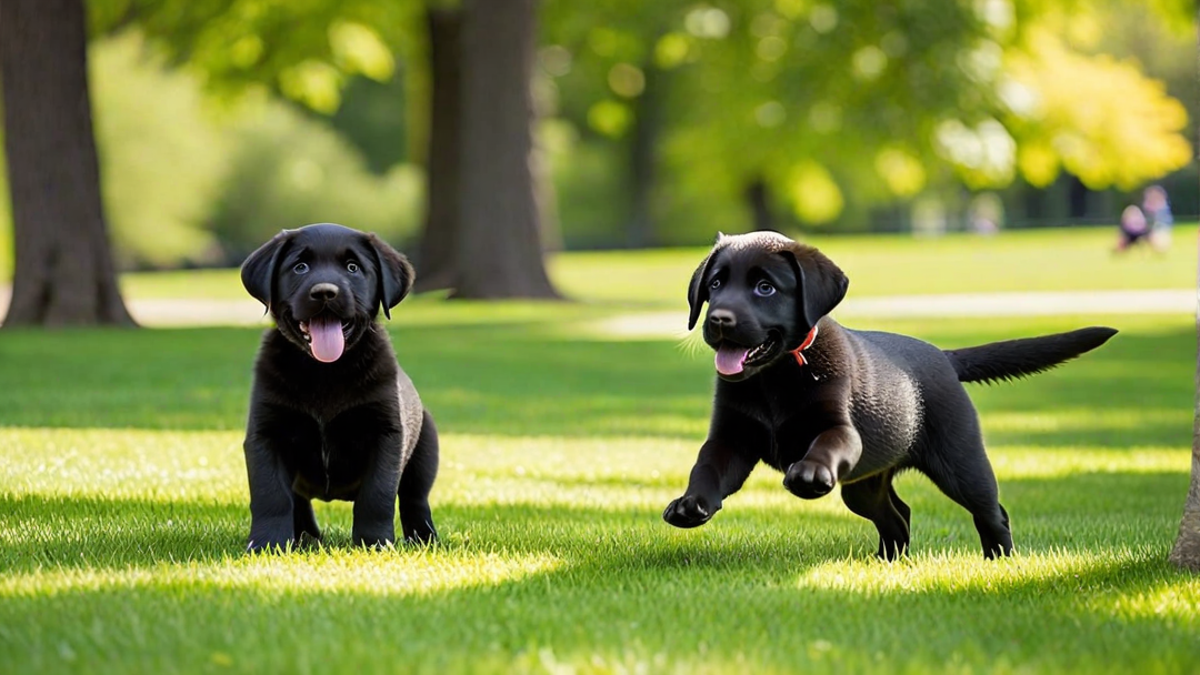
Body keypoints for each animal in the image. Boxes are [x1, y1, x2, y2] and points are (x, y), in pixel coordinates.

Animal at [236, 223, 439, 550]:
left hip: (425, 449)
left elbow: (377, 495)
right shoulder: (265, 434)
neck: (325, 371)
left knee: (414, 499)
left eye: (353, 267)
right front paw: (268, 544)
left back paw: (424, 539)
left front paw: (374, 544)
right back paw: (305, 536)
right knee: (298, 501)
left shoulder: (386, 434)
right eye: (300, 267)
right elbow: (271, 496)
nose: (324, 292)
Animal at [667, 230, 1113, 557]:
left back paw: (1000, 560)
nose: (718, 319)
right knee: (898, 516)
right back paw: (888, 563)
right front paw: (691, 504)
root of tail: (945, 357)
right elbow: (706, 466)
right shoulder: (731, 438)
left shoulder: (841, 429)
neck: (772, 378)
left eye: (764, 288)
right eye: (716, 284)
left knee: (991, 511)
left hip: (961, 461)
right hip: (865, 484)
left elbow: (825, 445)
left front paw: (809, 473)